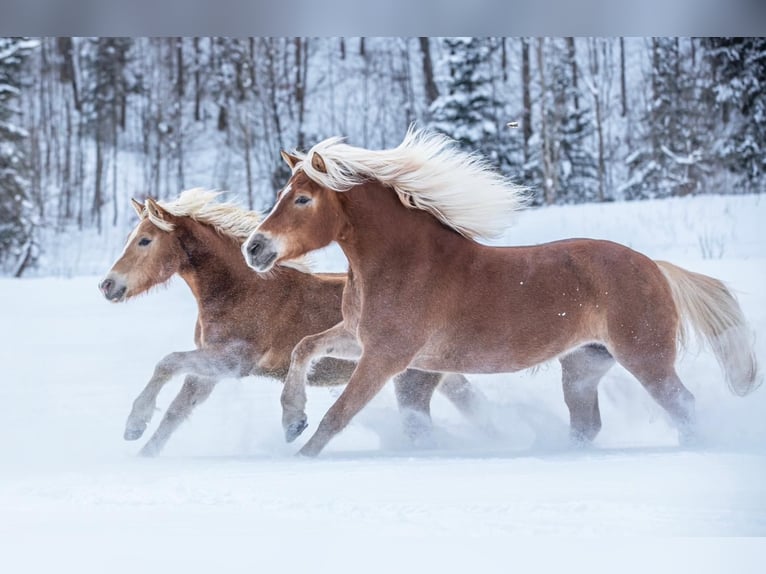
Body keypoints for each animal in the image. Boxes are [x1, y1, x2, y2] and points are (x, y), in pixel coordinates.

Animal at [98, 188, 491, 456]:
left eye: (145, 240)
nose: (108, 285)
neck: (240, 290)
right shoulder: (211, 369)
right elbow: (176, 411)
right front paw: (143, 450)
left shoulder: (233, 361)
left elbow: (166, 363)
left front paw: (134, 425)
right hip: (436, 377)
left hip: (410, 382)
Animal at [243, 128, 761, 457]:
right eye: (283, 193)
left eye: (302, 198)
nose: (254, 248)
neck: (402, 264)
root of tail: (655, 267)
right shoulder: (359, 338)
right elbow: (304, 349)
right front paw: (291, 422)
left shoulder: (387, 355)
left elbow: (339, 413)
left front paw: (300, 455)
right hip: (583, 366)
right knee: (587, 424)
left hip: (646, 358)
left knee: (683, 406)